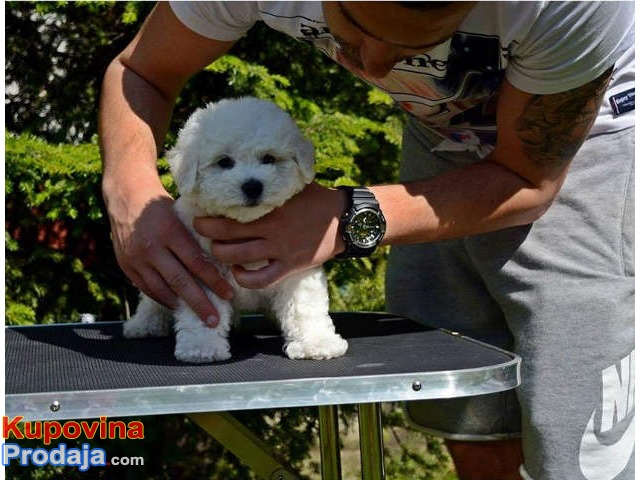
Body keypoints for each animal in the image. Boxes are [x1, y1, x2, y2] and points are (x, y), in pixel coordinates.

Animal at [123, 97, 348, 363]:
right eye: (224, 162)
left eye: (269, 158)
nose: (252, 186)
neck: (244, 223)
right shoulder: (200, 268)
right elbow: (205, 311)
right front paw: (202, 346)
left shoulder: (297, 264)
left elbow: (304, 305)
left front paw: (316, 342)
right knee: (151, 301)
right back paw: (143, 324)